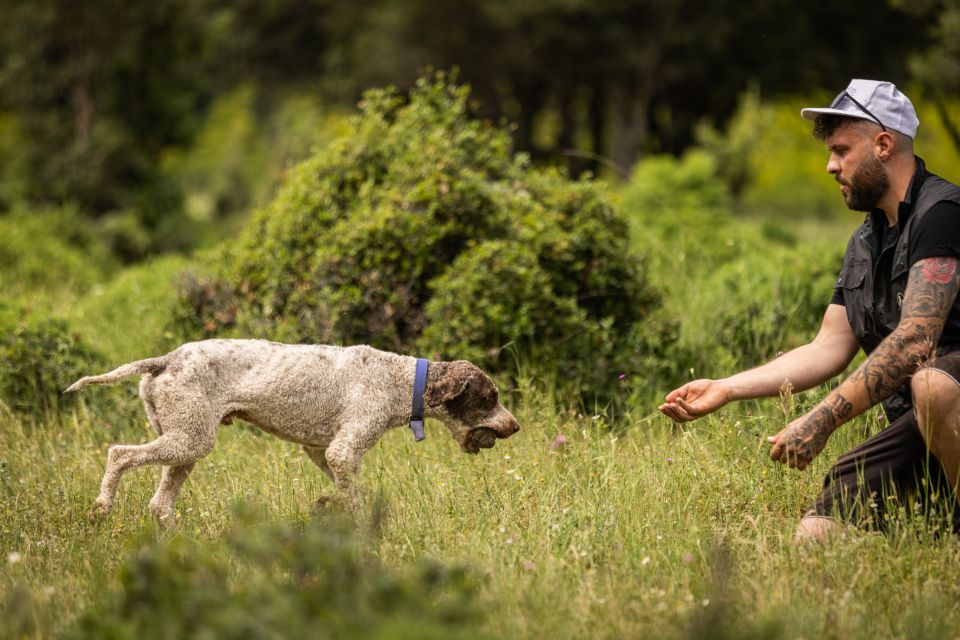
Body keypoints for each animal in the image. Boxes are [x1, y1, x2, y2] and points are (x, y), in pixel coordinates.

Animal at [64, 340, 520, 524]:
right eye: (490, 397)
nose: (516, 426)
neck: (401, 380)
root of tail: (165, 359)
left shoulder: (319, 450)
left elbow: (347, 487)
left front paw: (331, 503)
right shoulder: (342, 449)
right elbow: (353, 494)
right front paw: (340, 511)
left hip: (186, 444)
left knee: (159, 505)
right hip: (189, 439)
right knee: (119, 454)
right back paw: (102, 505)